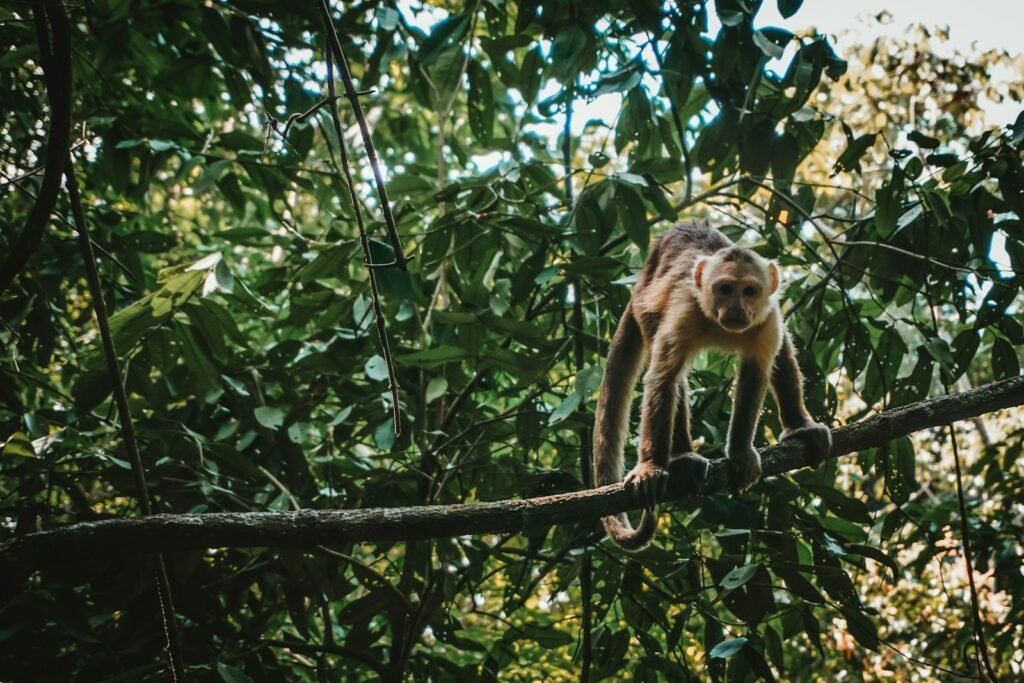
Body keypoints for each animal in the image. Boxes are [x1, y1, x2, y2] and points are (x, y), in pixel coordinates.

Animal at [593, 220, 832, 551]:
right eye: (725, 289)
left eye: (749, 291)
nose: (735, 308)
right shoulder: (686, 309)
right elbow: (663, 378)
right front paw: (651, 467)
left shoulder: (766, 317)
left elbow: (757, 372)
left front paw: (741, 453)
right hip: (645, 307)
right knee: (671, 374)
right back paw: (681, 458)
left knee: (782, 348)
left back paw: (799, 425)